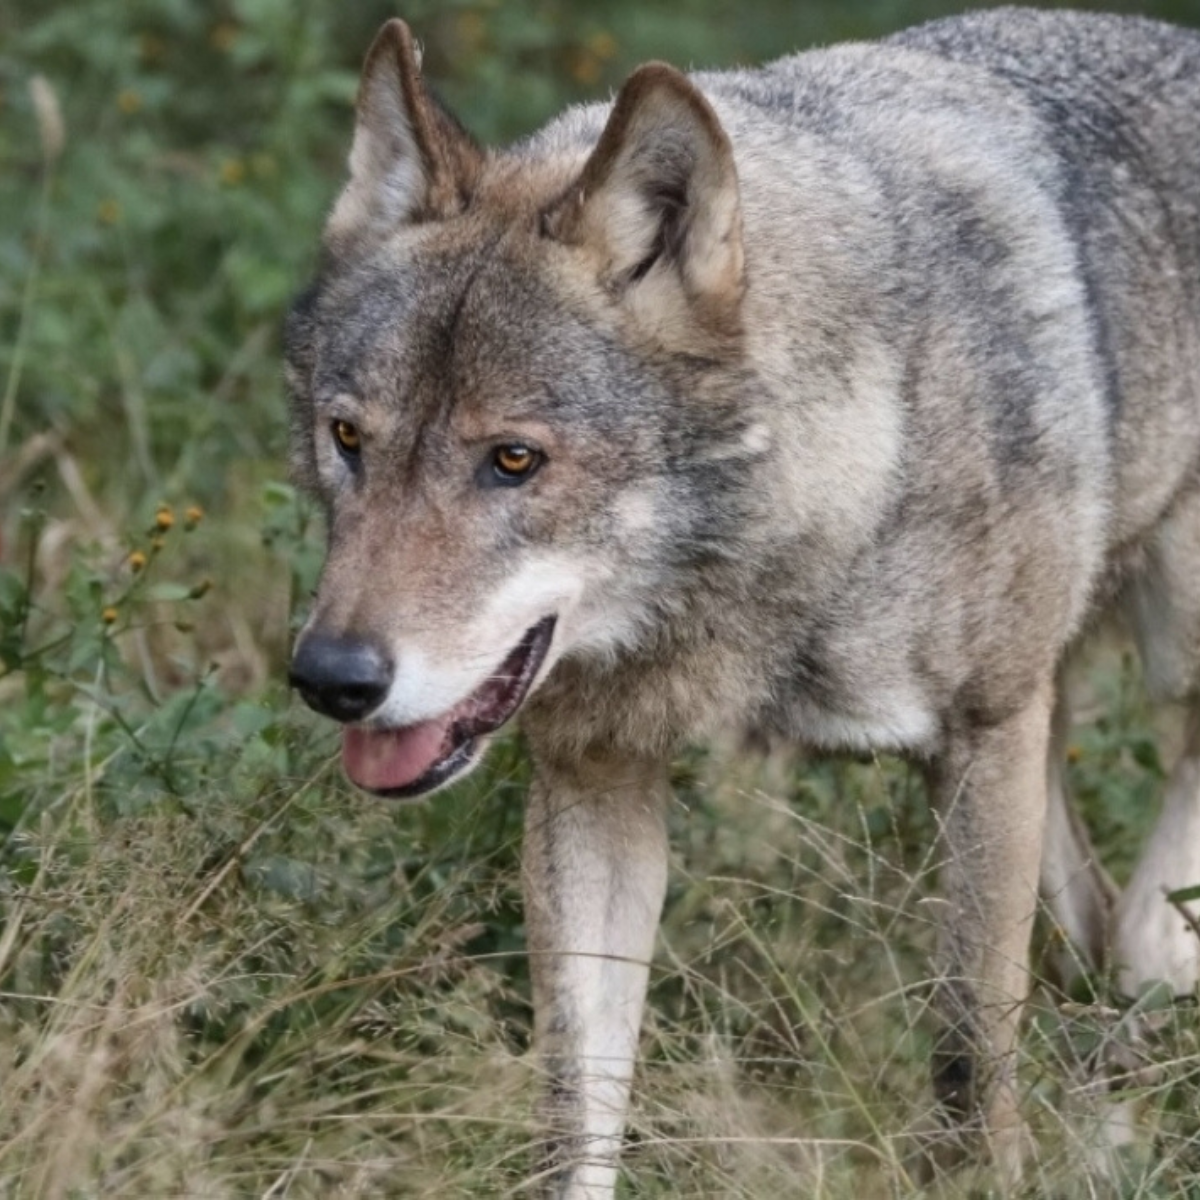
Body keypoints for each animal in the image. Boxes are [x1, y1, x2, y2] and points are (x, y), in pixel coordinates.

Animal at [285, 7, 1200, 1195]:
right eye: (349, 438)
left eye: (514, 461)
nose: (331, 679)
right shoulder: (594, 776)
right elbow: (575, 1103)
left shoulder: (987, 730)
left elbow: (967, 1053)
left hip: (1167, 646)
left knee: (1139, 884)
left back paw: (1151, 974)